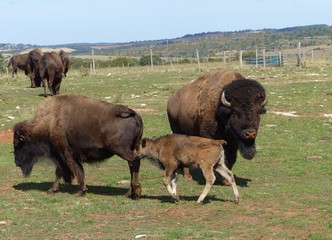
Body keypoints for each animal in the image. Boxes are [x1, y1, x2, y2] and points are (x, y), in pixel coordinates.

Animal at [13, 94, 143, 199]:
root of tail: (134, 115)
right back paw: (129, 193)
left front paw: (80, 191)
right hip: (131, 148)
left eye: (18, 144)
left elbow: (72, 171)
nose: (17, 163)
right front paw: (54, 189)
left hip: (121, 150)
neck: (50, 121)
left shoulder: (64, 154)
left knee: (134, 162)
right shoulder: (66, 156)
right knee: (132, 166)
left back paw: (135, 191)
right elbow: (66, 171)